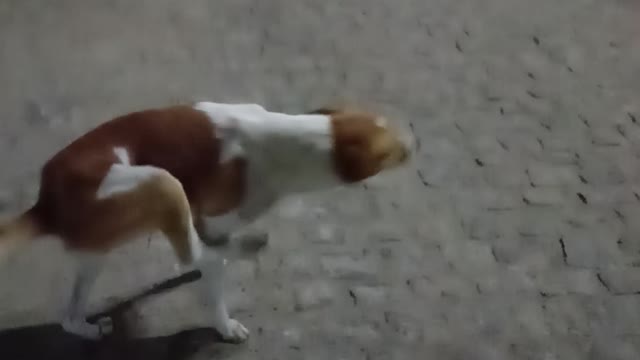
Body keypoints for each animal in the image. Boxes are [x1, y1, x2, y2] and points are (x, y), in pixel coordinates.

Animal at [0, 101, 412, 344]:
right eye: (390, 151)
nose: (415, 145)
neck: (287, 144)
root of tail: (46, 204)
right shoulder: (211, 221)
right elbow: (211, 276)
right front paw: (224, 326)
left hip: (97, 247)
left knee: (69, 315)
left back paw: (83, 325)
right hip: (161, 183)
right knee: (194, 253)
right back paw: (244, 247)